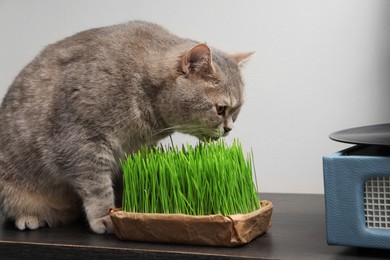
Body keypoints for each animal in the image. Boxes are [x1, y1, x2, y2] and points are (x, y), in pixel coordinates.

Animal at [0, 20, 253, 234]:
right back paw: (29, 217)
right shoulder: (80, 142)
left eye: (237, 110)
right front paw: (105, 217)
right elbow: (98, 187)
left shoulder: (136, 151)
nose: (229, 129)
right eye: (220, 109)